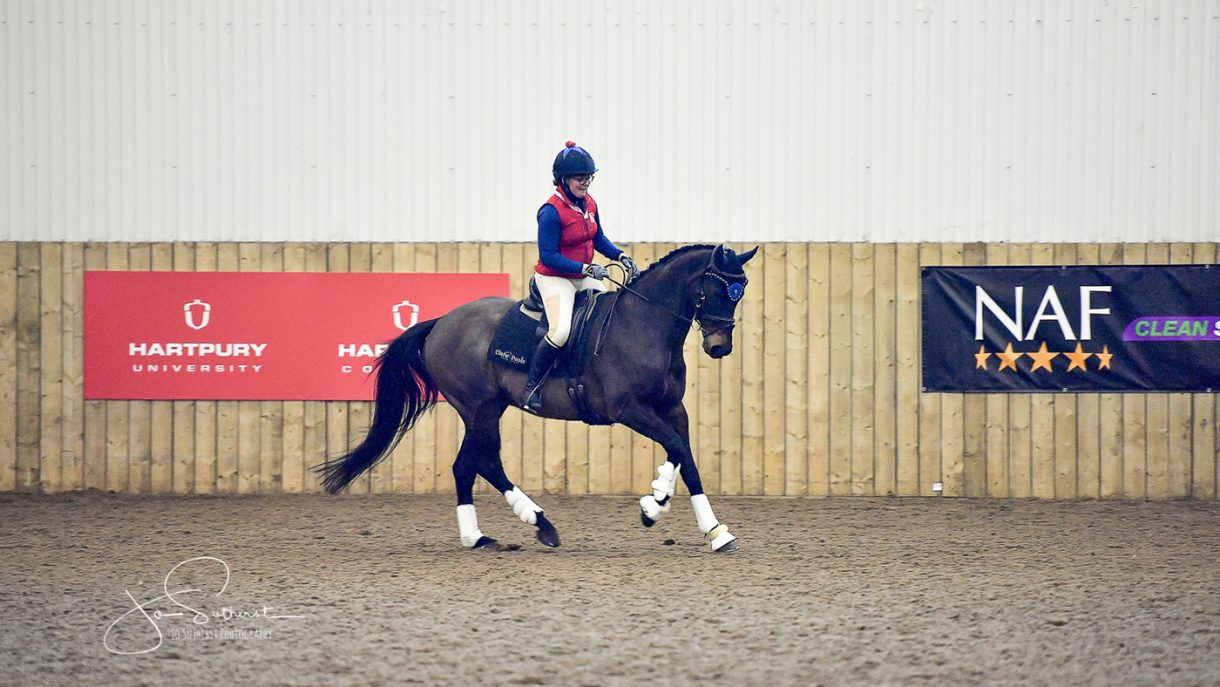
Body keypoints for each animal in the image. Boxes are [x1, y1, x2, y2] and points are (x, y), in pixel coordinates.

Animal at [317, 243, 758, 553]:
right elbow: (676, 447)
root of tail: (441, 322)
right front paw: (655, 507)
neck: (643, 326)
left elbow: (684, 454)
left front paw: (704, 526)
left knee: (467, 466)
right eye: (716, 289)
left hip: (485, 409)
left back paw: (480, 537)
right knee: (484, 463)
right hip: (479, 409)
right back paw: (538, 524)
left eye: (739, 293)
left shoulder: (672, 408)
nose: (719, 347)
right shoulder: (628, 410)